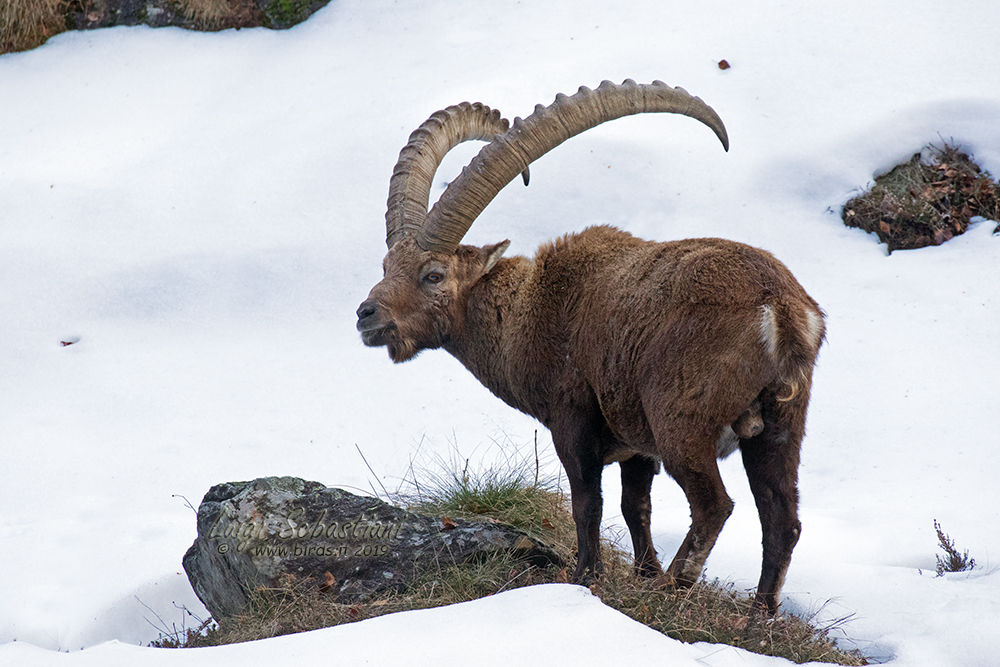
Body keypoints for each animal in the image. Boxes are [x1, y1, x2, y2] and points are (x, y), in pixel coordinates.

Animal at [356, 80, 825, 614]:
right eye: (387, 266)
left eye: (432, 275)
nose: (366, 315)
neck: (529, 308)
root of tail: (781, 309)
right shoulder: (636, 442)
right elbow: (635, 505)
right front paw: (642, 572)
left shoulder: (572, 416)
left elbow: (588, 502)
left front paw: (587, 578)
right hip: (781, 424)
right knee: (782, 519)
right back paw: (756, 618)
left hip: (681, 419)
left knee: (714, 505)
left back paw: (672, 590)